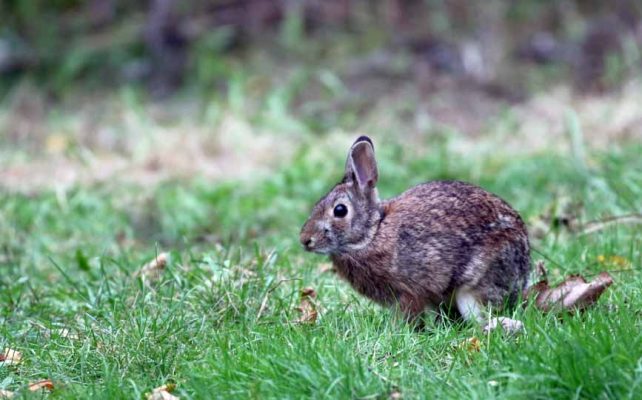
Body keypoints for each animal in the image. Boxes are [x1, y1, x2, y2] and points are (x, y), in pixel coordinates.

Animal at [300, 136, 531, 332]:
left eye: (340, 210)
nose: (305, 240)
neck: (373, 233)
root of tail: (523, 276)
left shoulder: (409, 291)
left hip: (474, 288)